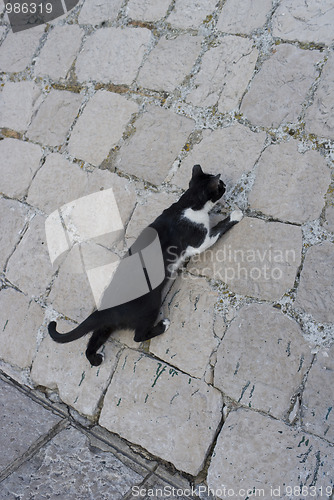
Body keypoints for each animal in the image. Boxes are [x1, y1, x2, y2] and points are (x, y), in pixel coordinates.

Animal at [48, 166, 243, 366]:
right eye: (220, 185)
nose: (225, 184)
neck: (186, 205)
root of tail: (107, 308)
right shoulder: (200, 241)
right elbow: (219, 229)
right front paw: (235, 215)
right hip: (151, 304)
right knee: (138, 336)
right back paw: (163, 325)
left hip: (107, 325)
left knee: (93, 341)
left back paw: (95, 358)